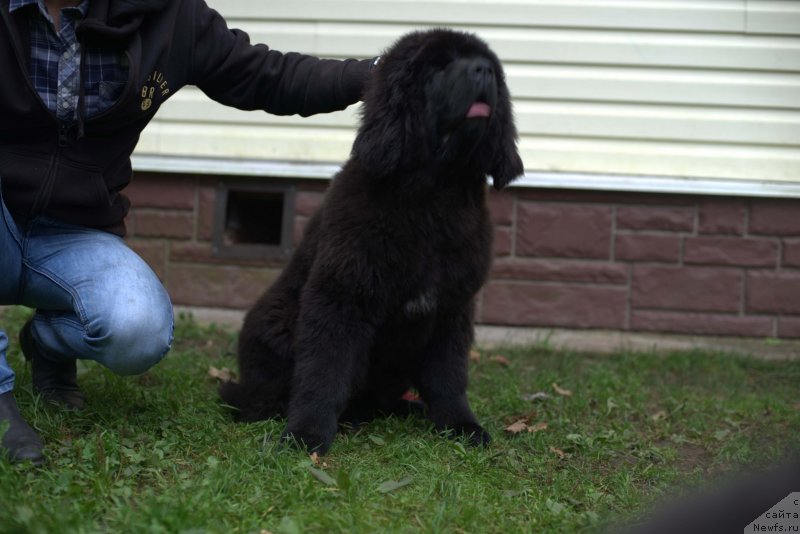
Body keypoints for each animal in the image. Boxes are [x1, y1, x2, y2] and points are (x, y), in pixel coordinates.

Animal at [220, 29, 524, 454]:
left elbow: (448, 377)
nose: (484, 71)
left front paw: (461, 425)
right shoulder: (342, 296)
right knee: (263, 398)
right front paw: (306, 434)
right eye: (439, 67)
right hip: (275, 327)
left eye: (489, 65)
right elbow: (324, 371)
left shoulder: (452, 306)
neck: (434, 195)